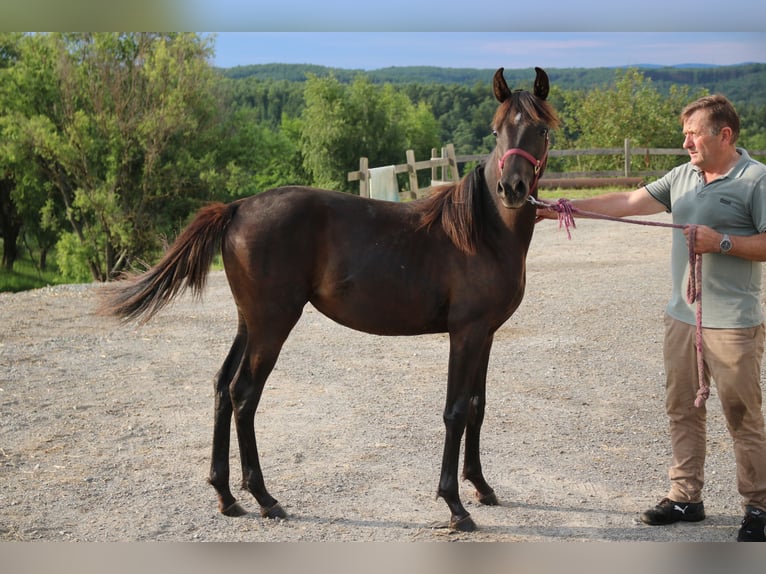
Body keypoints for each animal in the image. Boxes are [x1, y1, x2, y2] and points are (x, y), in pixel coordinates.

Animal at [99, 68, 560, 536]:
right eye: (497, 130)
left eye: (540, 129)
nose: (511, 189)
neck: (482, 232)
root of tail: (238, 207)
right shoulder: (464, 333)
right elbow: (455, 410)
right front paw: (455, 505)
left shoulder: (485, 334)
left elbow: (477, 407)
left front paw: (481, 487)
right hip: (272, 325)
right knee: (243, 394)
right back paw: (265, 498)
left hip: (250, 323)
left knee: (221, 387)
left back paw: (227, 496)